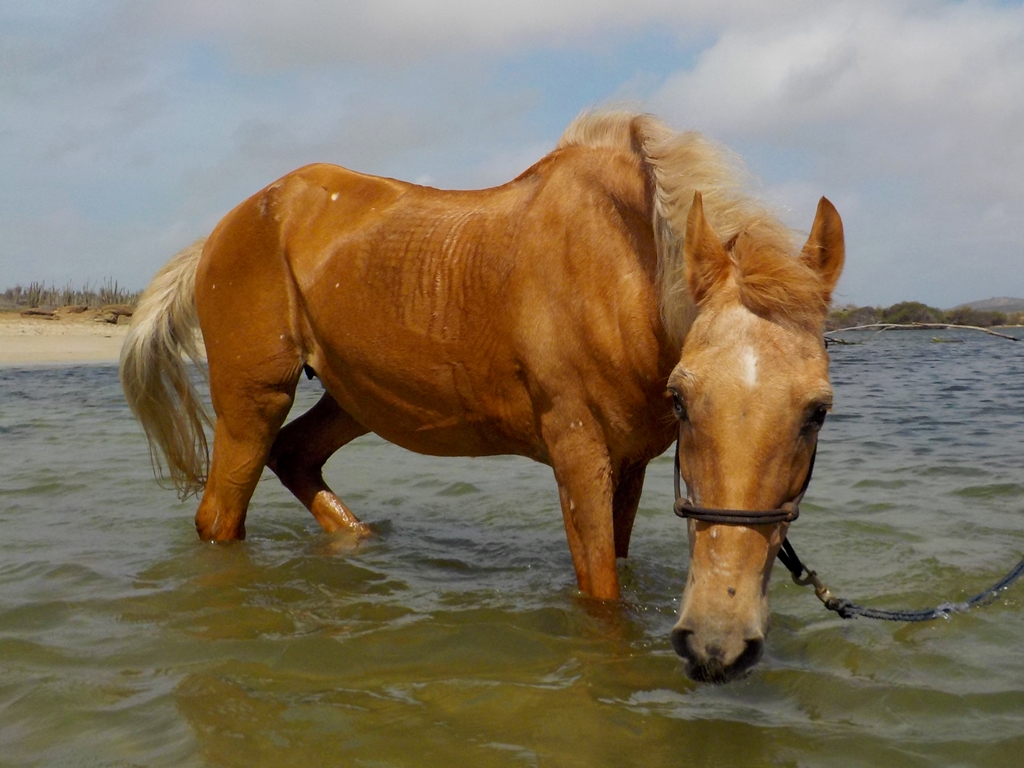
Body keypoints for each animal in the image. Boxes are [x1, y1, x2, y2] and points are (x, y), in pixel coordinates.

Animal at [120, 110, 844, 683]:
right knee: (220, 518)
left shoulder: (631, 464)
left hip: (354, 400)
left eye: (817, 410)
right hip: (252, 404)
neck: (620, 272)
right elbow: (600, 599)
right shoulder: (578, 452)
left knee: (296, 456)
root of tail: (226, 227)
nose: (719, 641)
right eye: (683, 399)